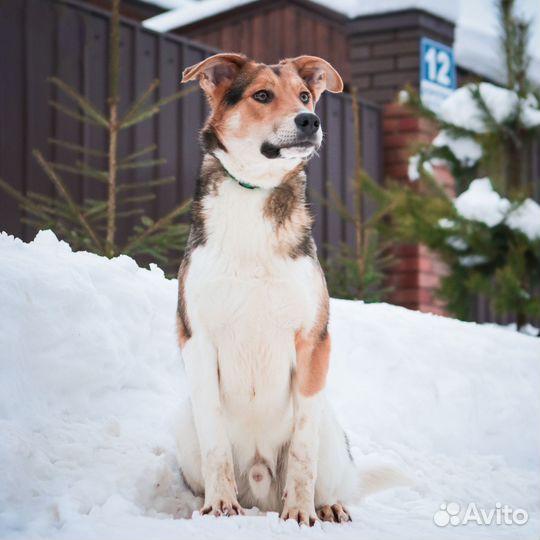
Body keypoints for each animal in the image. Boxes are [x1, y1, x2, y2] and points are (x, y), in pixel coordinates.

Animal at [175, 52, 356, 524]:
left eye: (306, 95)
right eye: (261, 95)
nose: (310, 120)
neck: (254, 190)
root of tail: (259, 486)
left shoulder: (313, 340)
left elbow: (303, 452)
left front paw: (300, 515)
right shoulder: (196, 338)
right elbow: (215, 444)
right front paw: (220, 506)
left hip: (333, 432)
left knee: (326, 473)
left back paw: (327, 506)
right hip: (183, 429)